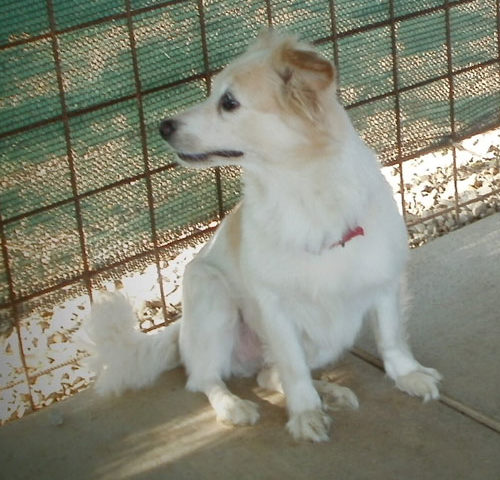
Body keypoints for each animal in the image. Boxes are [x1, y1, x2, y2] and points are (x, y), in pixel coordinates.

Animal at [87, 31, 442, 442]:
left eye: (228, 102)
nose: (163, 126)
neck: (303, 191)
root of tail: (180, 332)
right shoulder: (276, 307)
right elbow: (293, 369)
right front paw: (305, 414)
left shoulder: (383, 280)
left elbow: (391, 338)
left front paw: (409, 376)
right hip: (212, 295)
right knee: (206, 379)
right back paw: (235, 406)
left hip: (324, 338)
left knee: (266, 375)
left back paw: (331, 392)